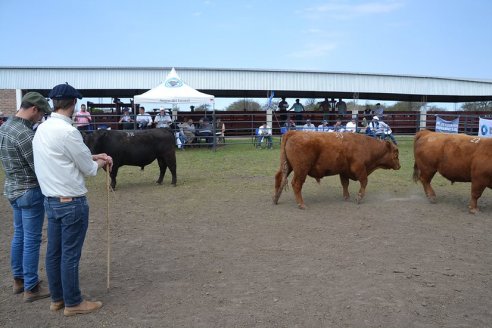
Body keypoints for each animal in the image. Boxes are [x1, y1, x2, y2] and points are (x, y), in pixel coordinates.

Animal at [272, 130, 400, 209]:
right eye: (396, 153)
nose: (399, 166)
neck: (366, 145)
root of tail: (294, 132)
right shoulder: (359, 169)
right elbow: (364, 182)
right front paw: (358, 198)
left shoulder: (343, 171)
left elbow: (345, 184)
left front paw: (346, 197)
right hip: (301, 170)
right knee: (296, 184)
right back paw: (301, 204)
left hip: (288, 166)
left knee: (279, 177)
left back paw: (275, 199)